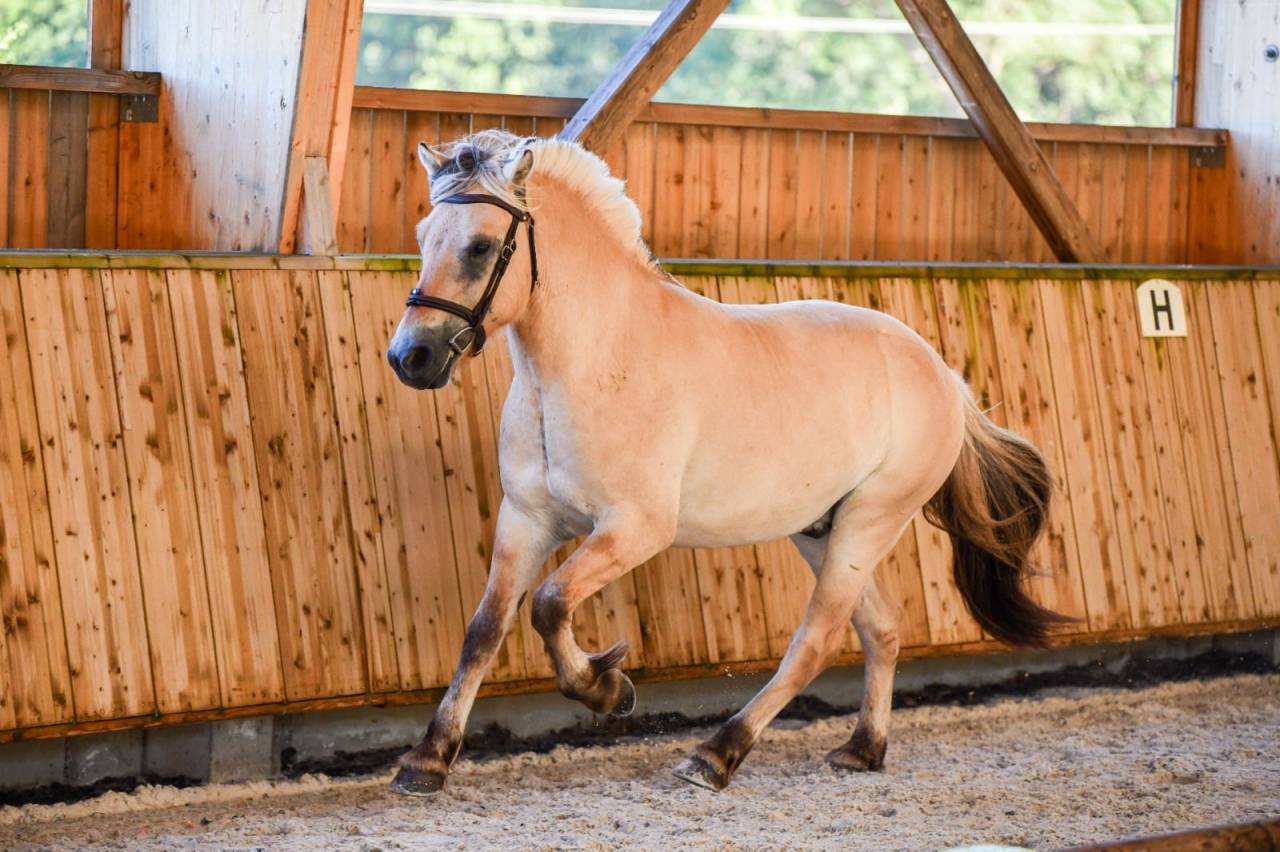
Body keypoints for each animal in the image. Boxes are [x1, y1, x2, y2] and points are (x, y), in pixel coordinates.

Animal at [384, 129, 1068, 796]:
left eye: (479, 246)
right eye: (422, 238)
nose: (410, 358)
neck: (593, 361)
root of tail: (942, 373)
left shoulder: (635, 529)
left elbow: (549, 604)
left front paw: (608, 689)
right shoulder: (526, 520)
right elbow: (484, 631)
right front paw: (427, 761)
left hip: (870, 521)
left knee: (818, 639)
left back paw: (715, 754)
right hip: (821, 528)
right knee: (881, 629)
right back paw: (861, 750)